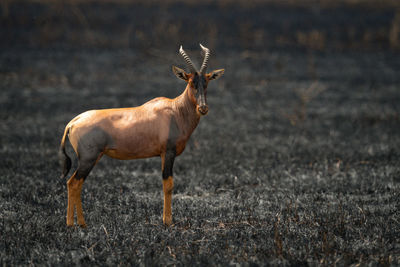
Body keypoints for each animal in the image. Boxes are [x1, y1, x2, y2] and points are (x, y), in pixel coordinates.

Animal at [59, 44, 223, 228]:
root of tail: (73, 122)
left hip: (91, 158)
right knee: (74, 183)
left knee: (75, 184)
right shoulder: (168, 152)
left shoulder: (163, 154)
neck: (175, 110)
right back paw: (73, 224)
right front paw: (167, 222)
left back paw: (80, 223)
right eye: (190, 82)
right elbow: (168, 184)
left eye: (206, 82)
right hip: (88, 158)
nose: (203, 108)